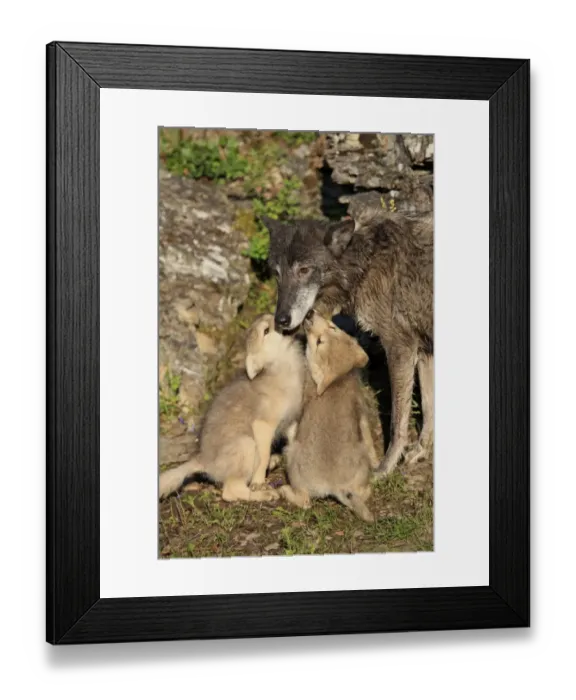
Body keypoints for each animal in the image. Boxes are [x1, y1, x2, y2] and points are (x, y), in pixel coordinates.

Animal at [158, 314, 306, 502]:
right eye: (266, 331)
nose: (283, 318)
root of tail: (203, 459)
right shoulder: (263, 425)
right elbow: (263, 456)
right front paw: (259, 482)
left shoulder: (291, 421)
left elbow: (294, 441)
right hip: (246, 444)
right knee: (231, 492)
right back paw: (265, 494)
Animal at [264, 203, 433, 477]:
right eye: (277, 274)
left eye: (304, 270)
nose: (281, 320)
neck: (366, 263)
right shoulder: (425, 349)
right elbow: (429, 408)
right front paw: (421, 451)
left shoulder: (400, 347)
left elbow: (398, 421)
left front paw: (386, 467)